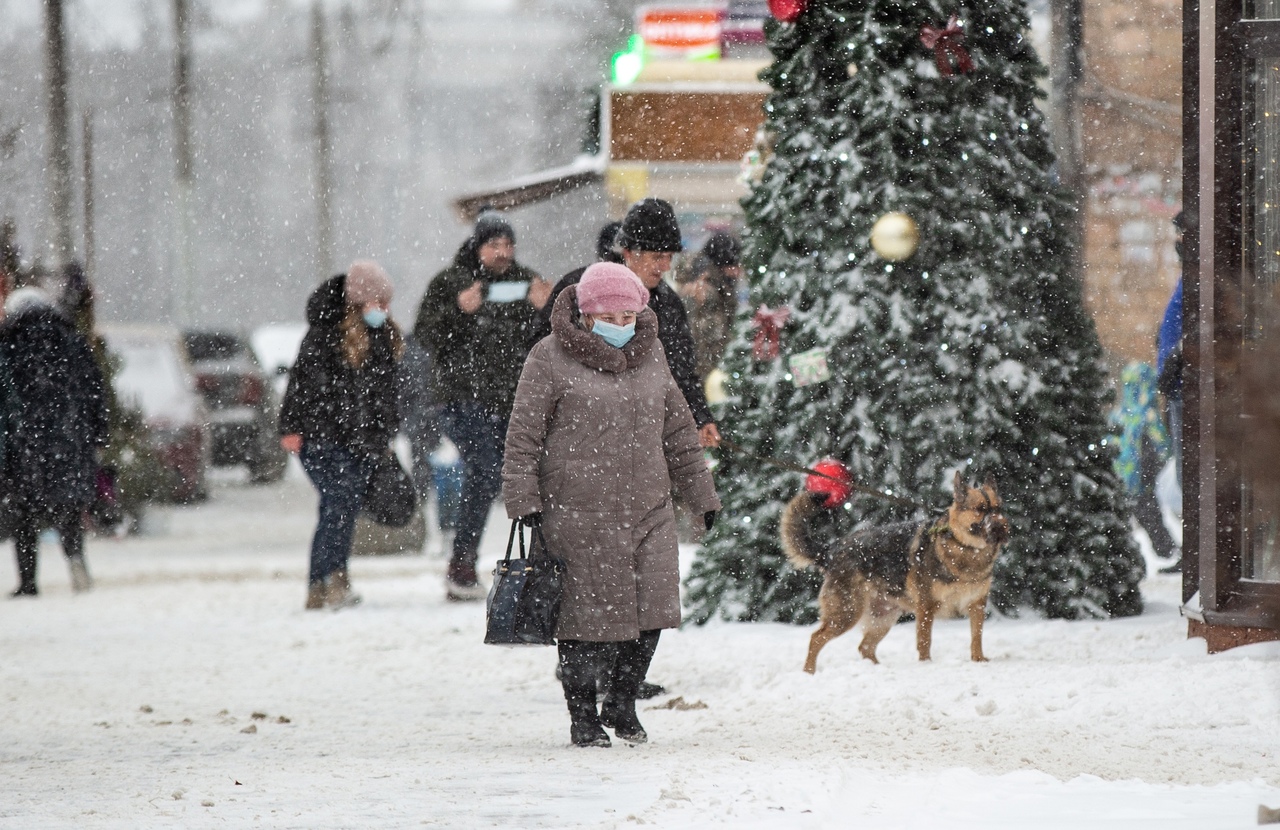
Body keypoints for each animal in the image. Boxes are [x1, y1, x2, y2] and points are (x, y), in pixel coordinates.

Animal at [778, 471, 1008, 671]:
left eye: (998, 508)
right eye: (980, 509)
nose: (1001, 528)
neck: (966, 549)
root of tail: (831, 550)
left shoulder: (977, 605)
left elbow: (976, 637)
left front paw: (979, 661)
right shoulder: (927, 607)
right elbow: (925, 641)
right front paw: (926, 666)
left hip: (883, 618)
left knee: (864, 647)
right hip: (846, 613)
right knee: (816, 639)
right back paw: (809, 672)